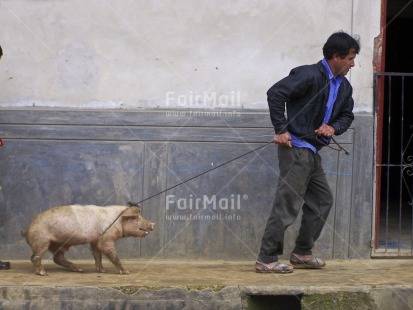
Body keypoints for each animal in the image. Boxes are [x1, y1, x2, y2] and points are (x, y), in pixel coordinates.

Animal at [22, 203, 154, 276]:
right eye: (136, 218)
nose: (153, 224)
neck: (117, 221)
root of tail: (27, 230)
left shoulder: (95, 240)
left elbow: (98, 255)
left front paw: (103, 271)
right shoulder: (106, 238)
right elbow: (110, 253)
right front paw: (127, 272)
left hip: (59, 244)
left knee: (57, 258)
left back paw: (80, 269)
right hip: (41, 240)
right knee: (34, 257)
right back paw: (44, 273)